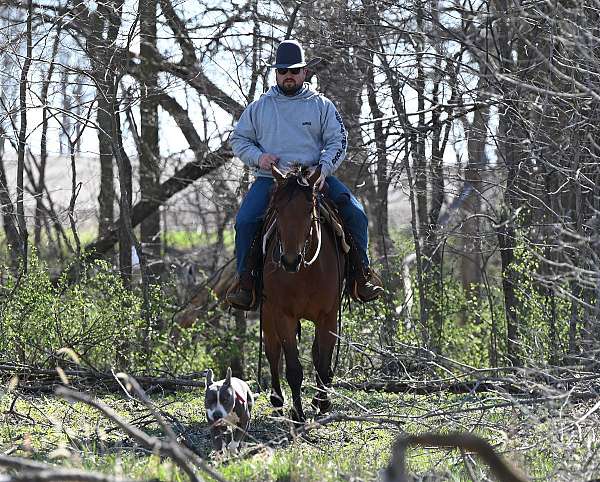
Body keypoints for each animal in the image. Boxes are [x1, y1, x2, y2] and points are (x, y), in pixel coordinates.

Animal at [262, 165, 344, 422]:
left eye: (309, 208)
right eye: (277, 208)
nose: (289, 260)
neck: (306, 272)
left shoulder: (328, 316)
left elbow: (323, 361)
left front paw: (323, 402)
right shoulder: (283, 316)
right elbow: (294, 369)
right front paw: (298, 415)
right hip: (267, 312)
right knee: (272, 351)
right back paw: (277, 400)